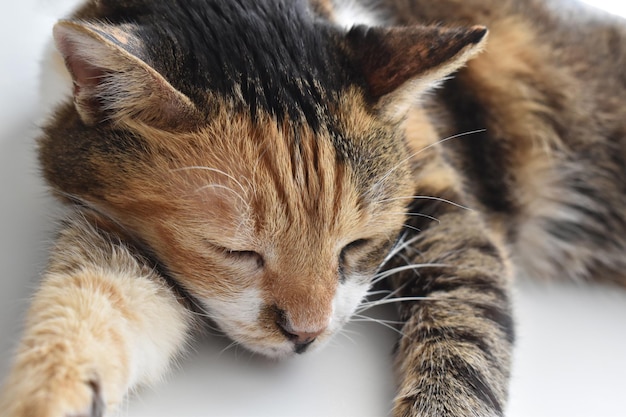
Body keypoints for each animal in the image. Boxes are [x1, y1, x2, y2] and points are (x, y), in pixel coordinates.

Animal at [0, 0, 620, 414]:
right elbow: (93, 299)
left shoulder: (446, 208)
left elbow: (468, 336)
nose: (307, 334)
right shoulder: (120, 231)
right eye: (236, 252)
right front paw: (50, 396)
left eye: (357, 245)